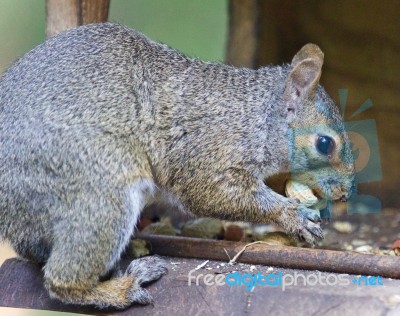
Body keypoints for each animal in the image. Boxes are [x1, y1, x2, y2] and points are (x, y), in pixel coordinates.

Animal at [0, 22, 356, 308]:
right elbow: (211, 194)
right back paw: (124, 287)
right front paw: (293, 217)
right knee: (62, 281)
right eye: (325, 144)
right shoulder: (208, 153)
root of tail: (10, 218)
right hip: (101, 192)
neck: (254, 117)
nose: (345, 193)